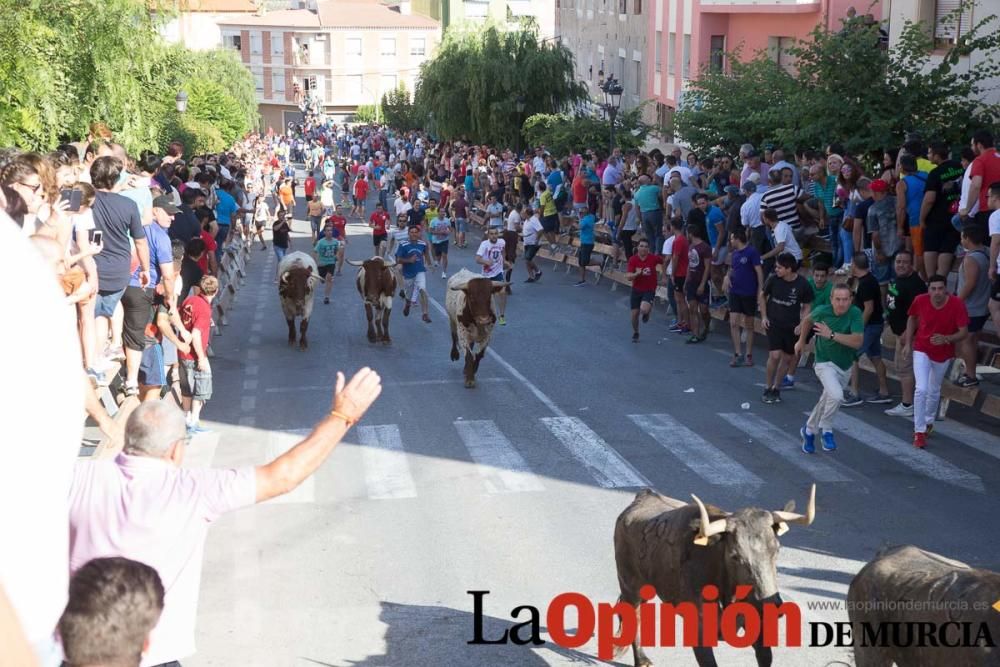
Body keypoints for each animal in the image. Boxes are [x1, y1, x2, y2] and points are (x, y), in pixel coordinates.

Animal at [612, 486, 816, 667]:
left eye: (777, 549)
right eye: (735, 556)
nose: (771, 605)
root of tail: (643, 496)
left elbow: (766, 657)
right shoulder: (699, 630)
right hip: (630, 584)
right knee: (634, 614)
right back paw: (642, 660)